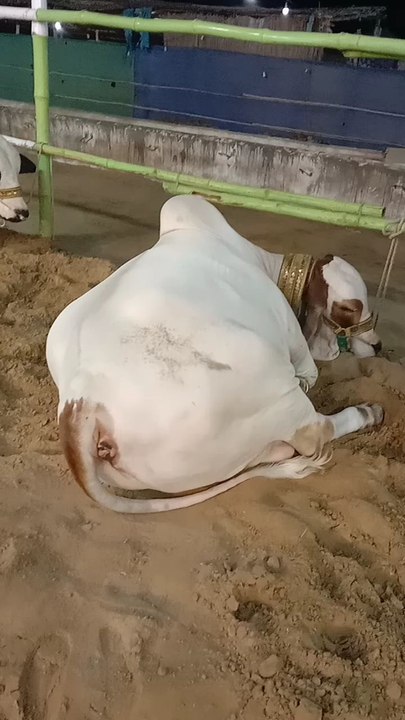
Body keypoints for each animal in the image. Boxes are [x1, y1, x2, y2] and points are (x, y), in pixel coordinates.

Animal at [46, 195, 383, 514]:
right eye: (350, 308)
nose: (378, 345)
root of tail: (82, 399)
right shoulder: (294, 340)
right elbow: (309, 374)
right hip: (268, 379)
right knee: (314, 433)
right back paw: (367, 412)